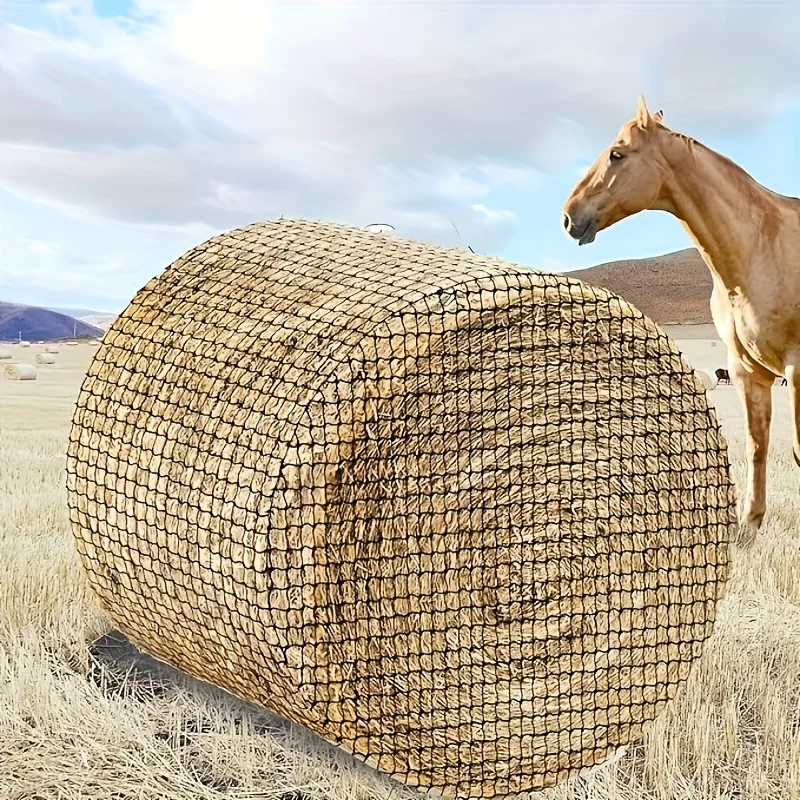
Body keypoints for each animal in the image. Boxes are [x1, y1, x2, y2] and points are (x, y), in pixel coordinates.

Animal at [562, 97, 800, 531]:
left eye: (618, 153)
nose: (569, 217)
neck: (761, 245)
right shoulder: (747, 371)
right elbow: (757, 448)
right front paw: (749, 526)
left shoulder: (797, 368)